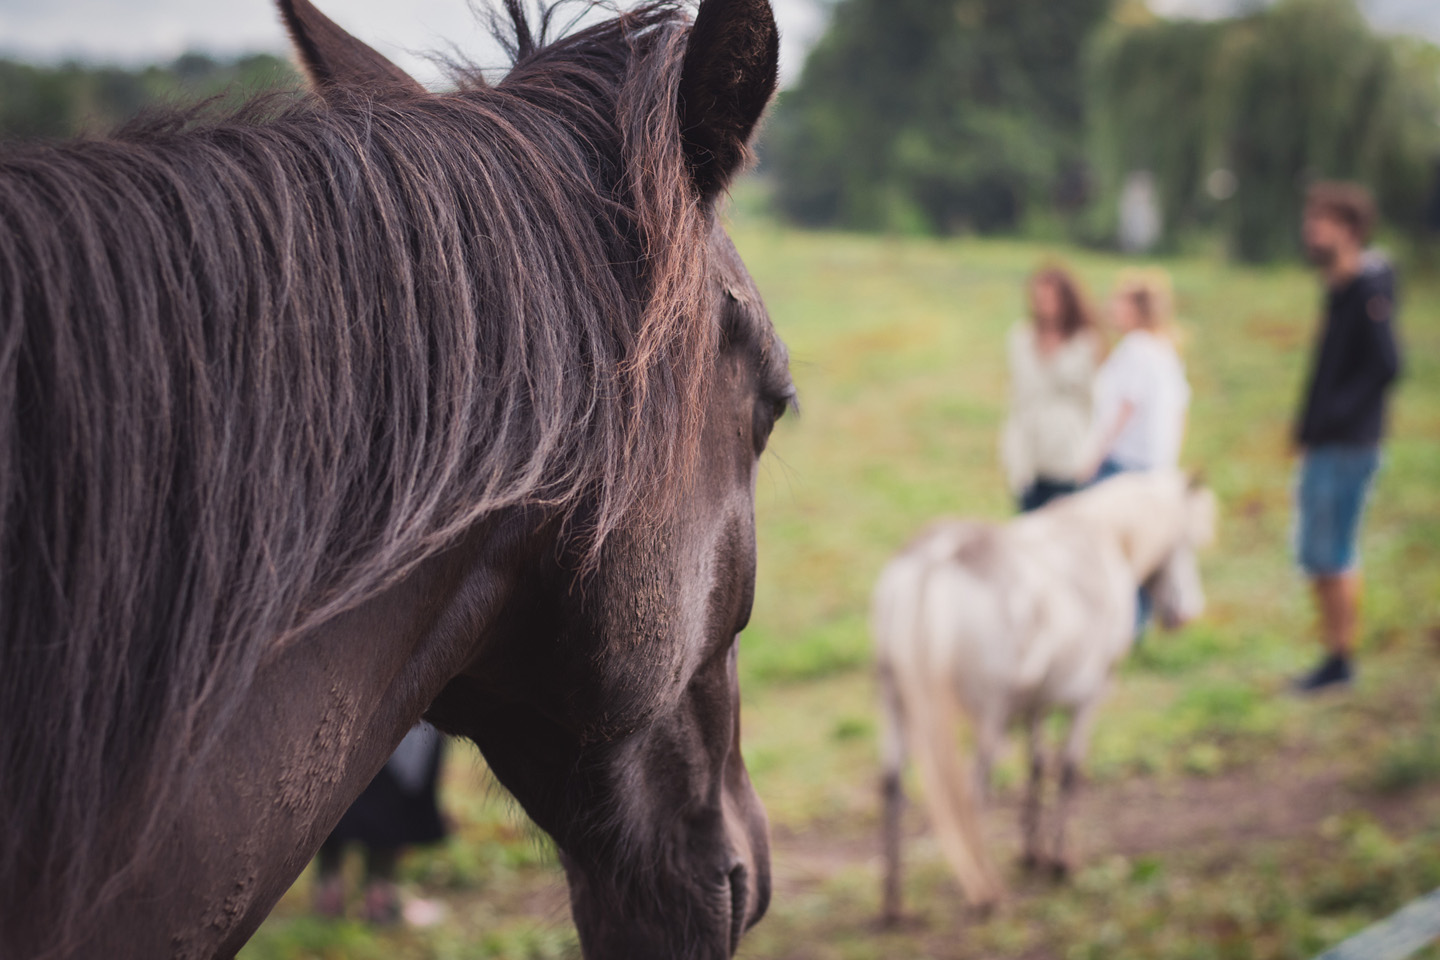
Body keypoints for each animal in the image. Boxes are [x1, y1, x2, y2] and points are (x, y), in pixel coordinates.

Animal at [874, 470, 1216, 921]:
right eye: (1188, 541)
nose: (1187, 613)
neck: (1103, 536)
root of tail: (935, 558)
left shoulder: (1035, 703)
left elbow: (1036, 766)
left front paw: (1031, 853)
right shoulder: (1088, 696)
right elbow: (1068, 771)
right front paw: (1058, 861)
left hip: (895, 703)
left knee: (891, 787)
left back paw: (894, 903)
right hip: (988, 716)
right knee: (971, 792)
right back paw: (987, 892)